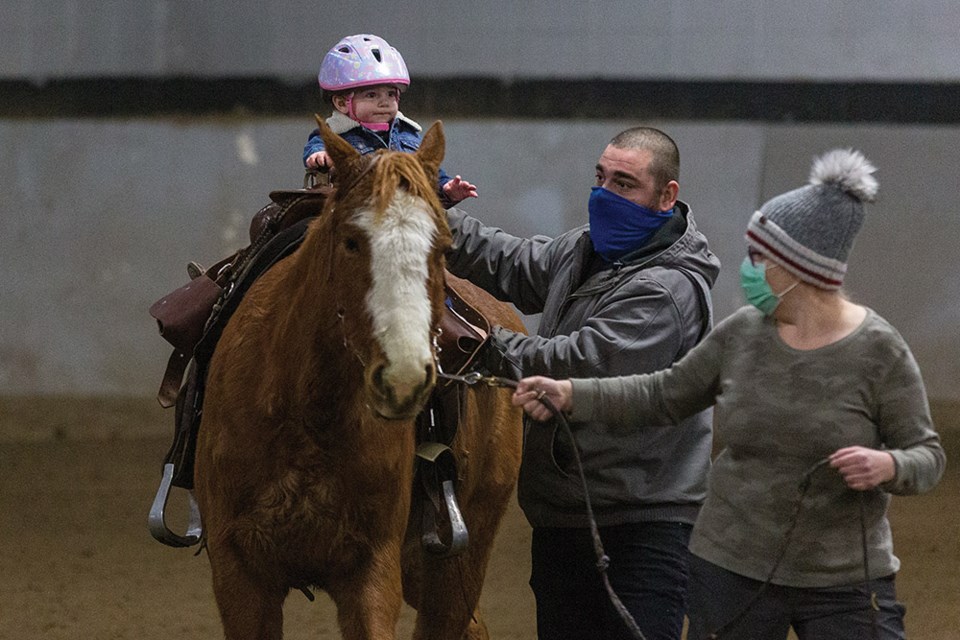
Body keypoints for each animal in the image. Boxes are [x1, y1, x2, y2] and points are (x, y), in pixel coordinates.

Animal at [193, 119, 524, 640]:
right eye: (351, 240)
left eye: (443, 247)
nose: (404, 374)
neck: (306, 413)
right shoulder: (239, 572)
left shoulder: (372, 571)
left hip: (458, 553)